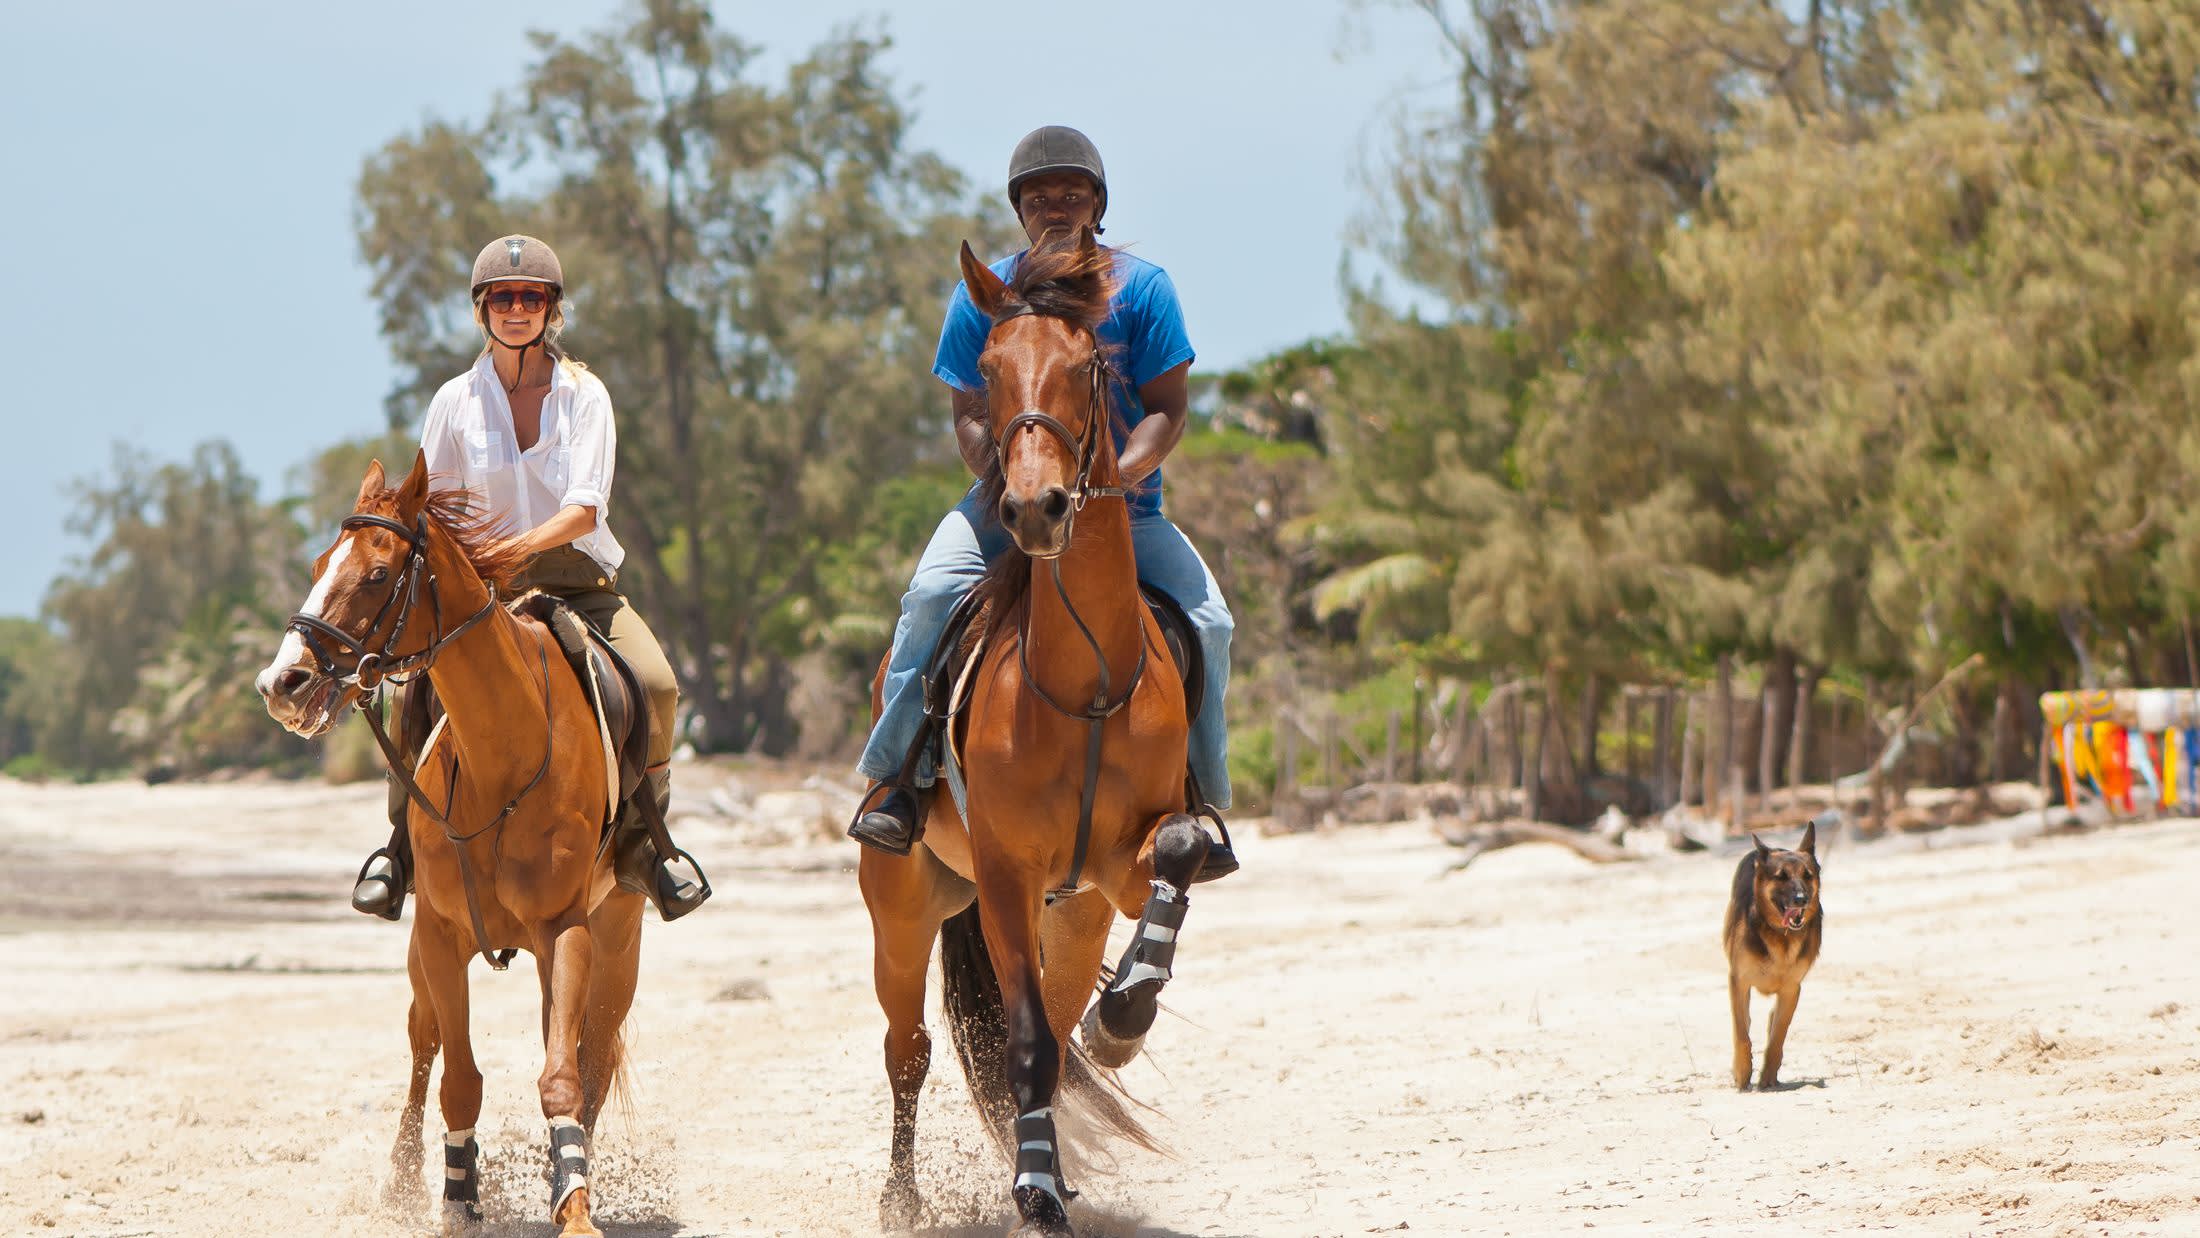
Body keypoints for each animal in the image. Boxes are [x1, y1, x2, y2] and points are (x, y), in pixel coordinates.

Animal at [255, 453, 642, 1237]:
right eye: (318, 564)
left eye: (377, 574)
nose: (283, 683)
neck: (502, 760)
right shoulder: (438, 936)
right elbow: (458, 1080)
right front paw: (457, 1199)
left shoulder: (567, 932)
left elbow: (563, 1076)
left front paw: (575, 1206)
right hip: (421, 956)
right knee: (422, 1042)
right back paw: (402, 1180)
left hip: (616, 948)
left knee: (589, 1054)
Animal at [859, 228, 1213, 1237]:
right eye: (985, 368)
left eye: (1088, 367)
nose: (1032, 507)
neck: (1083, 679)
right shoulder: (1010, 877)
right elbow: (1022, 1045)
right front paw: (1036, 1194)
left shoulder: (1120, 869)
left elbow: (1178, 853)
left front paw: (1124, 1016)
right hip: (903, 907)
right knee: (908, 1048)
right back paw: (906, 1196)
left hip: (1075, 911)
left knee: (1051, 1025)